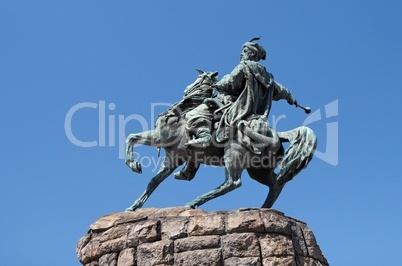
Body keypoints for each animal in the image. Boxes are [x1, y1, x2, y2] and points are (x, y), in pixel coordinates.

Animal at [124, 69, 316, 211]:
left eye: (199, 78)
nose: (186, 90)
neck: (183, 112)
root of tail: (277, 135)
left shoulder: (159, 137)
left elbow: (131, 138)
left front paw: (134, 165)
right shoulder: (173, 158)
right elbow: (153, 182)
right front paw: (134, 206)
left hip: (233, 155)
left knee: (233, 183)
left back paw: (194, 202)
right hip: (258, 170)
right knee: (276, 183)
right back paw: (263, 208)